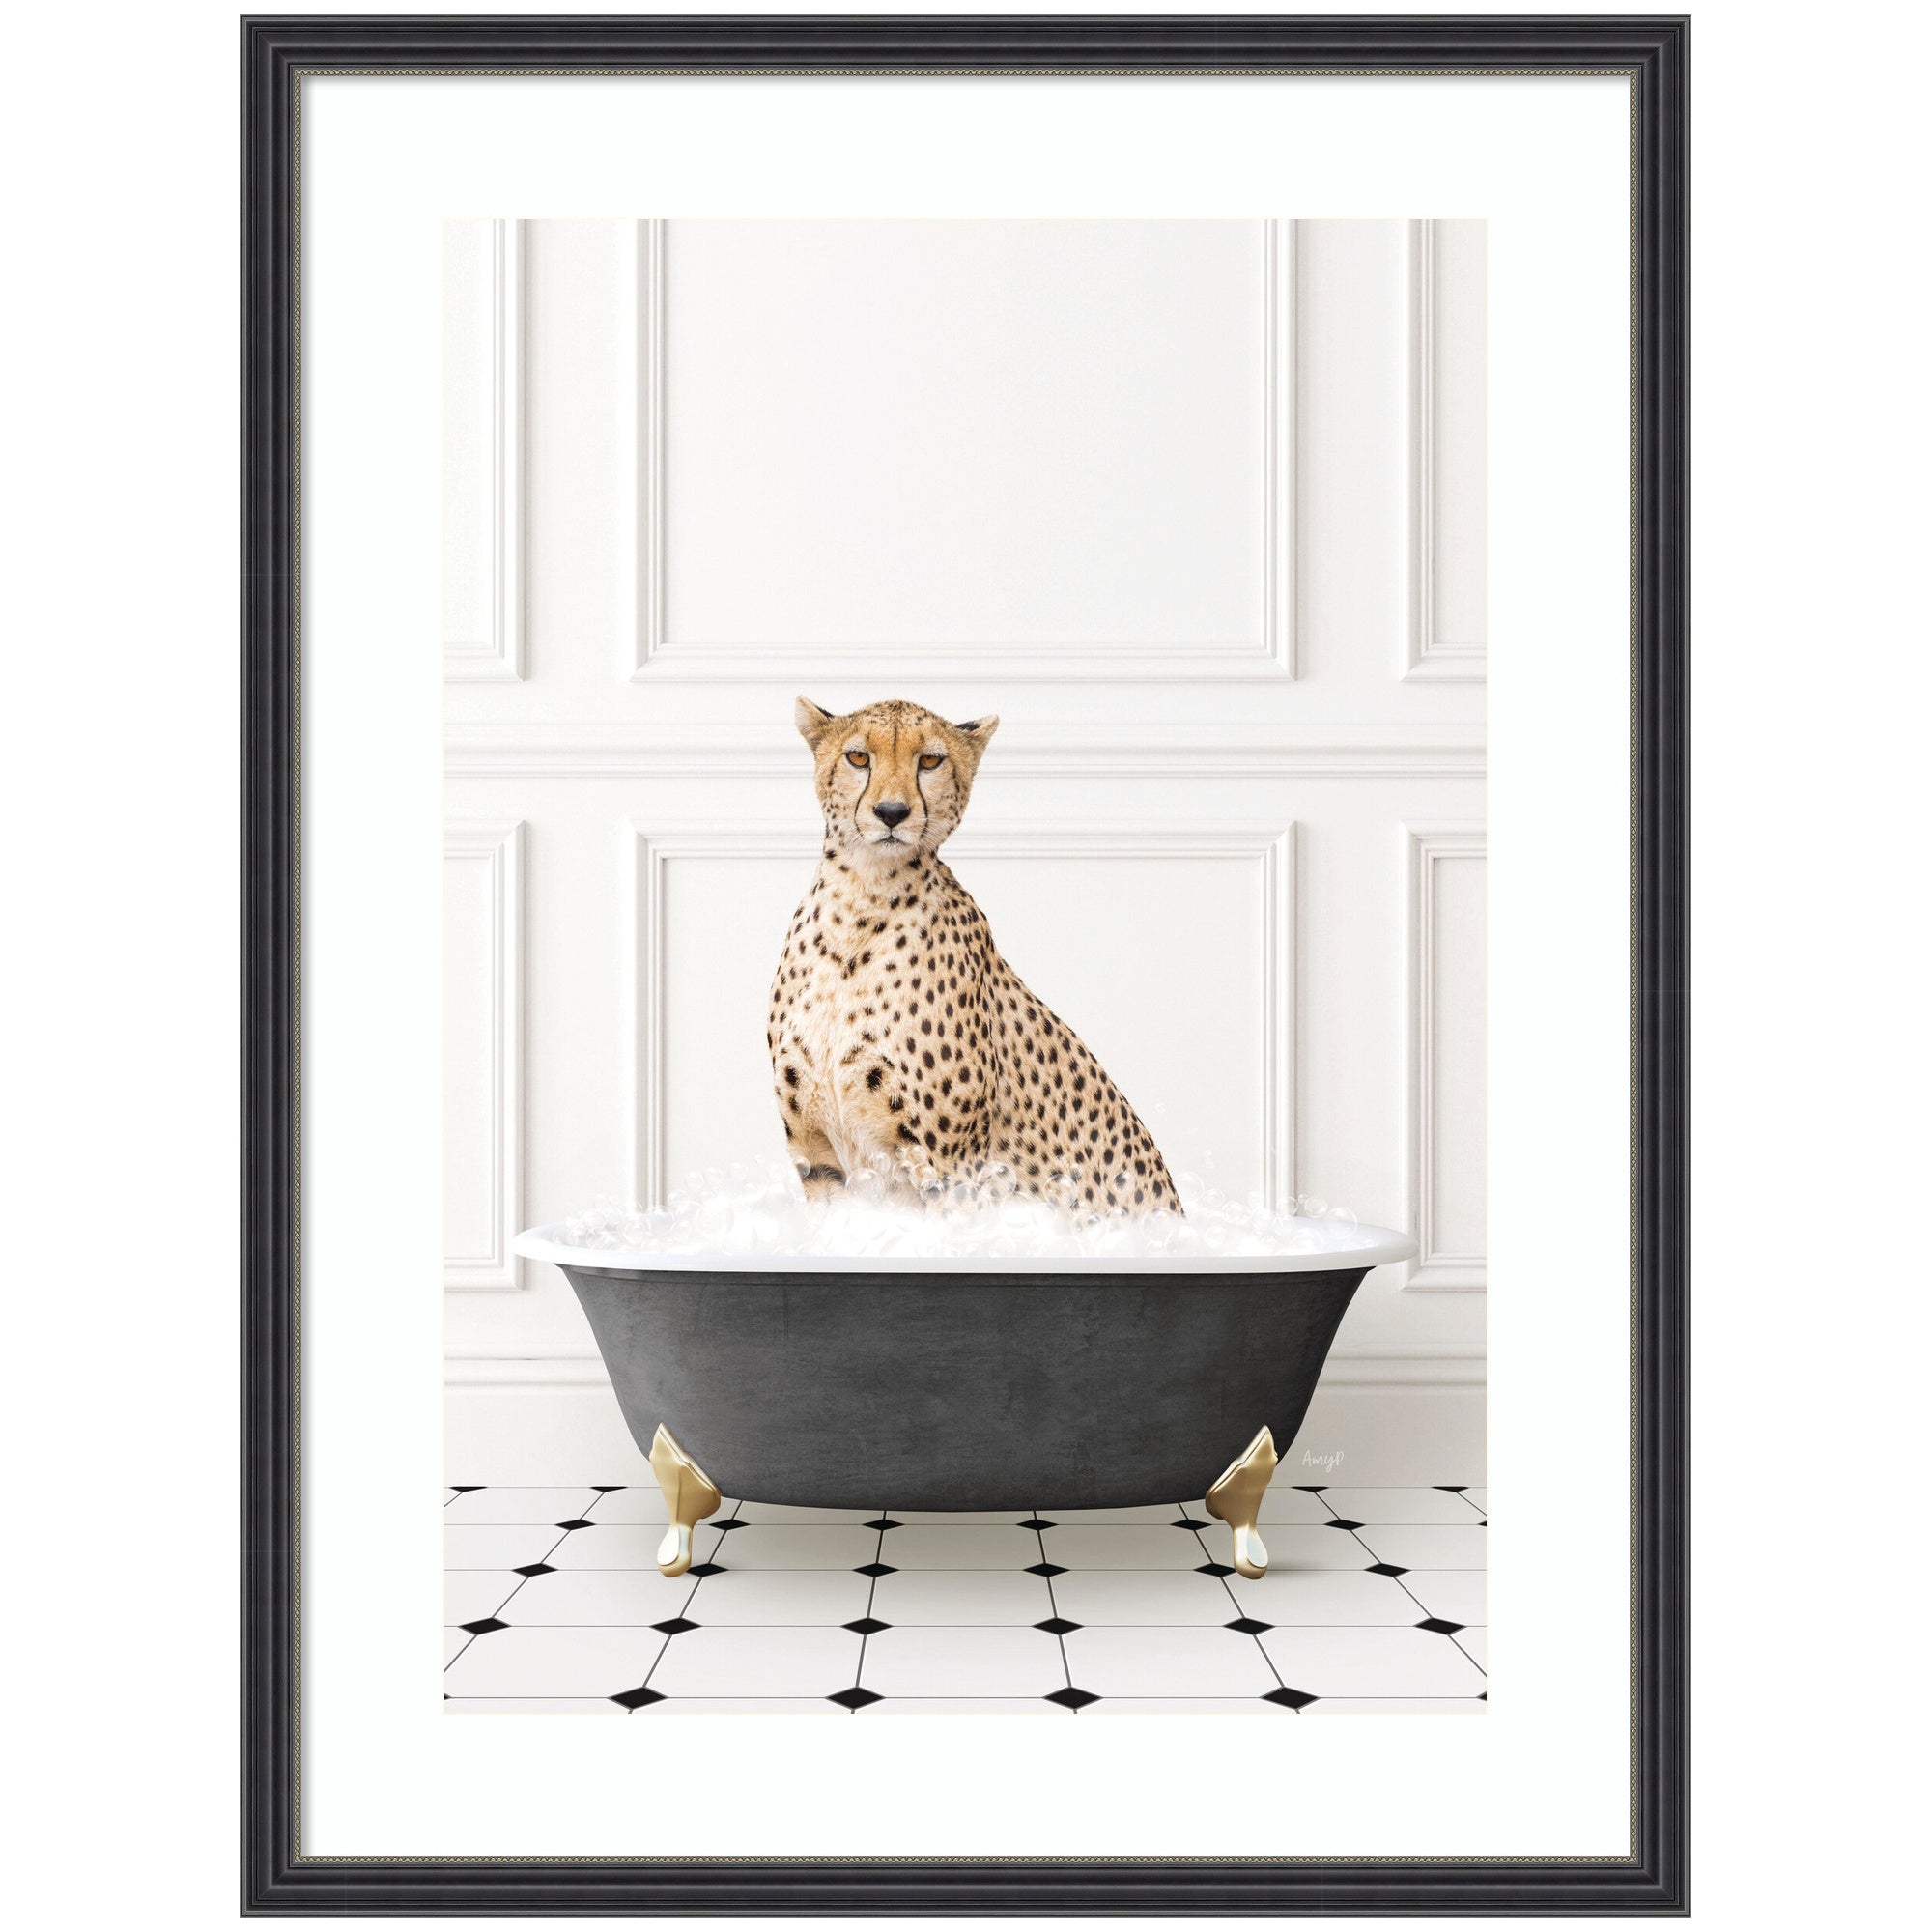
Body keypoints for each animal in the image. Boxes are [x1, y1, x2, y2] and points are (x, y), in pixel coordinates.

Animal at [768, 696, 1181, 1218]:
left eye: (930, 761)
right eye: (858, 757)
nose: (891, 812)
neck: (861, 899)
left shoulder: (950, 1170)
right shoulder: (818, 1159)